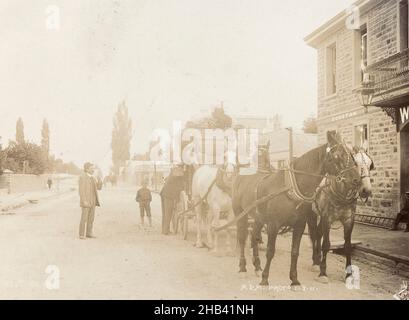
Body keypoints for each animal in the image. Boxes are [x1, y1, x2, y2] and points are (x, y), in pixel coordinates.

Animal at [231, 131, 362, 288]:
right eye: (337, 155)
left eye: (351, 154)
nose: (357, 180)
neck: (290, 189)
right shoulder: (273, 225)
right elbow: (270, 251)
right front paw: (265, 279)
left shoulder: (299, 224)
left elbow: (295, 252)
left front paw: (294, 280)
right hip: (240, 214)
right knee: (242, 238)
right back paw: (242, 268)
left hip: (258, 218)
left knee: (255, 236)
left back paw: (257, 266)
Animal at [310, 146, 372, 284]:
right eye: (355, 163)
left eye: (370, 165)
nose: (366, 190)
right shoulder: (327, 218)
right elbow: (326, 244)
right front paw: (323, 273)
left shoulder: (349, 219)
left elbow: (347, 246)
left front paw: (349, 274)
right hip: (313, 214)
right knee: (314, 235)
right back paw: (315, 262)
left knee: (318, 233)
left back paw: (317, 260)